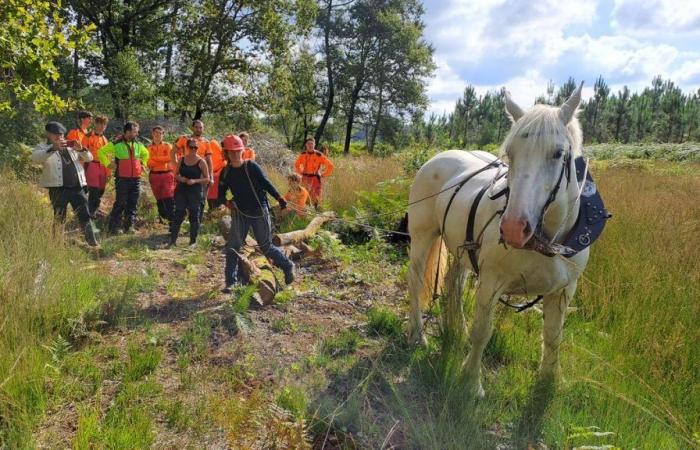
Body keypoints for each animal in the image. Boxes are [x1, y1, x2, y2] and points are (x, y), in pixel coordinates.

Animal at [404, 83, 592, 394]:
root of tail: (440, 156)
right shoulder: (492, 282)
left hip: (461, 247)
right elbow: (483, 331)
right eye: (511, 153)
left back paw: (457, 329)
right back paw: (417, 334)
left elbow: (553, 336)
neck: (547, 242)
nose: (514, 228)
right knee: (416, 280)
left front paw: (550, 380)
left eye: (557, 153)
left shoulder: (564, 290)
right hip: (422, 235)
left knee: (453, 283)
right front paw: (471, 381)